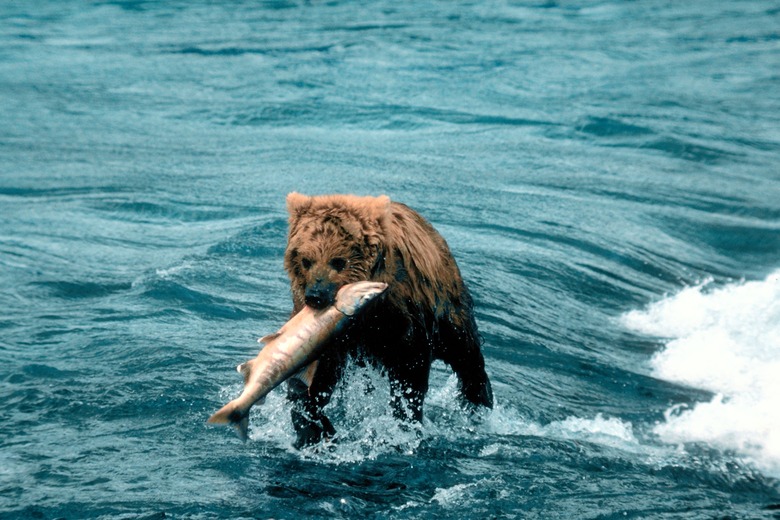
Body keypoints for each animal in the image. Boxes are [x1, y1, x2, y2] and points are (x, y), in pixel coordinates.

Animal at [284, 191, 490, 446]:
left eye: (339, 261)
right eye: (306, 260)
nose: (316, 295)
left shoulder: (400, 314)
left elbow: (410, 369)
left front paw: (404, 421)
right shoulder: (327, 330)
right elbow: (315, 372)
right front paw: (313, 427)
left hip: (448, 306)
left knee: (467, 356)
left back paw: (478, 404)